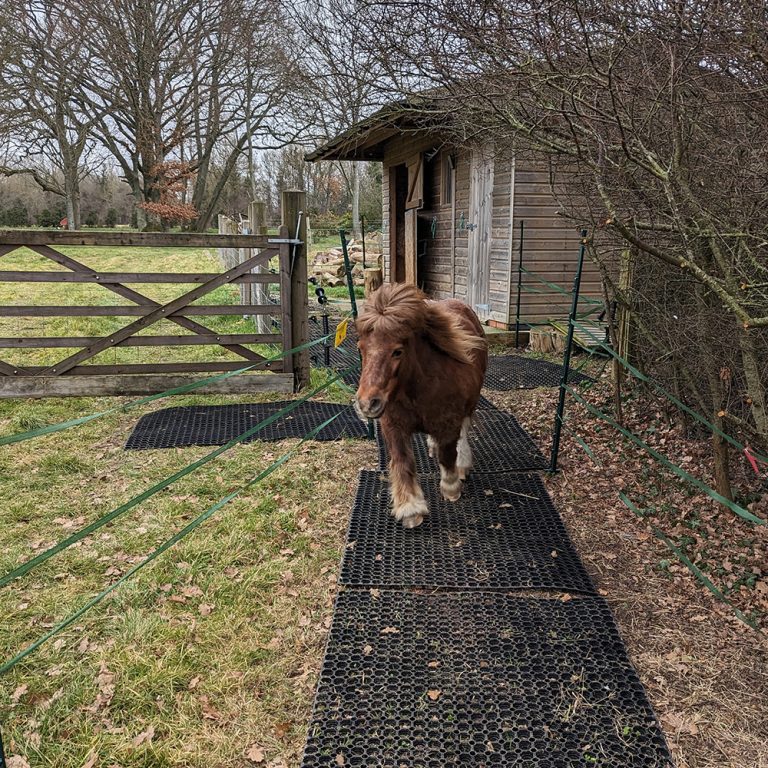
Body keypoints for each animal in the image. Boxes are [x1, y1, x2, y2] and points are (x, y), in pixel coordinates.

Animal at [355, 283, 488, 529]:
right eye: (361, 348)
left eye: (397, 351)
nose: (367, 403)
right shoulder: (393, 426)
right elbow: (402, 461)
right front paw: (410, 508)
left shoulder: (448, 424)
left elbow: (448, 455)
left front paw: (451, 488)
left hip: (469, 405)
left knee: (464, 433)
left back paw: (462, 463)